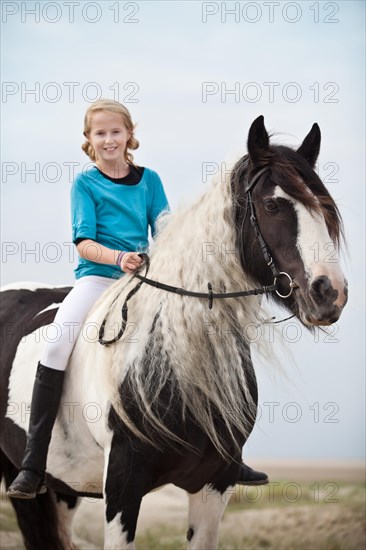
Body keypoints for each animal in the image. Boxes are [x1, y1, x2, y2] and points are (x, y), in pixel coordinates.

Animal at [0, 114, 348, 548]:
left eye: (325, 208)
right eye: (272, 205)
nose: (330, 292)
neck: (177, 360)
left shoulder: (216, 483)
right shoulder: (122, 485)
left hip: (63, 489)